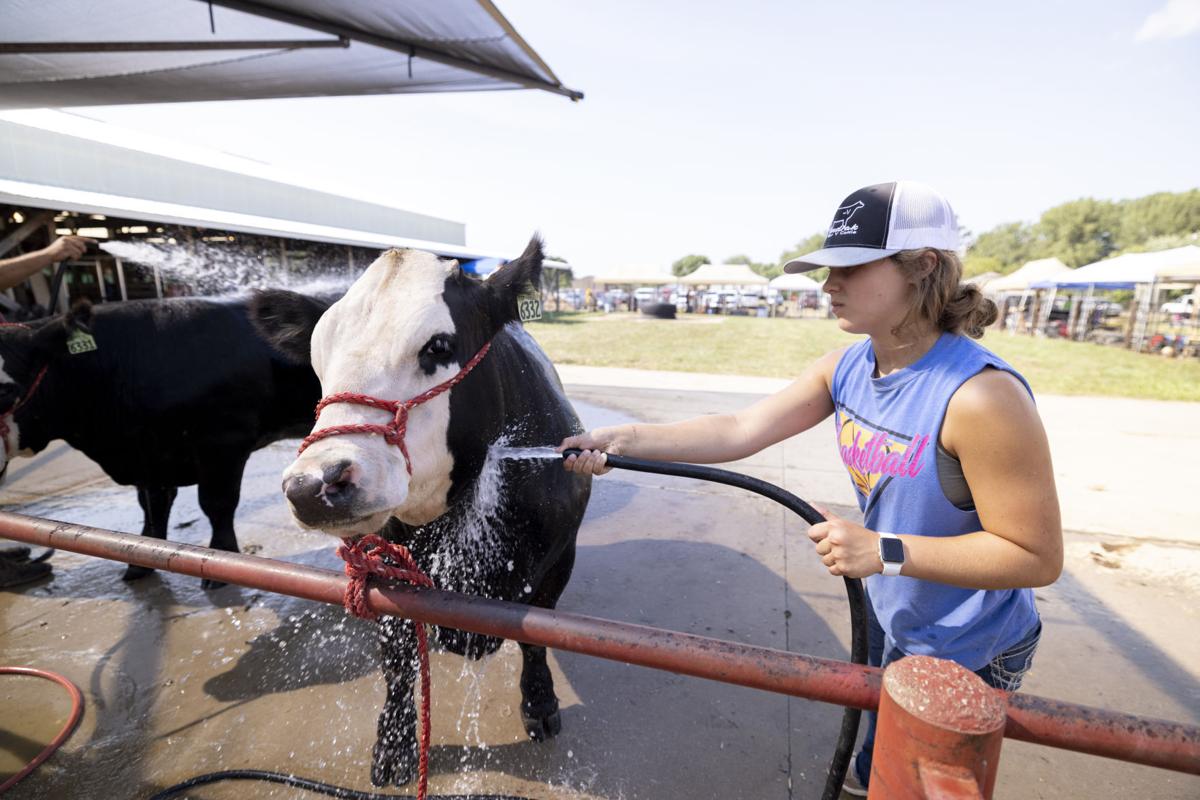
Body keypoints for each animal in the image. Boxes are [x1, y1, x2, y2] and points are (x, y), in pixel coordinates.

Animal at [0, 293, 326, 587]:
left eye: (6, 389)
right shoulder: (150, 455)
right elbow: (152, 505)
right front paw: (141, 559)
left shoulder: (222, 442)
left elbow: (216, 503)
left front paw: (220, 561)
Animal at [253, 237, 590, 786]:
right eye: (318, 359)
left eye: (438, 347)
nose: (312, 485)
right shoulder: (382, 569)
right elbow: (397, 657)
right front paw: (394, 746)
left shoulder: (560, 556)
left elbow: (537, 636)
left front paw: (540, 705)